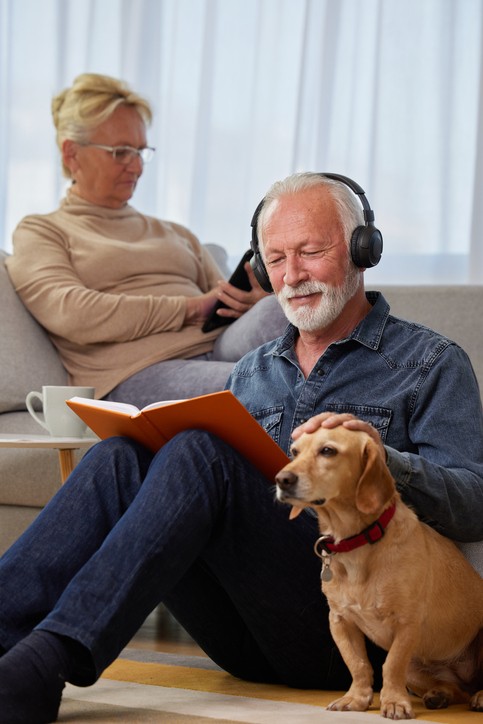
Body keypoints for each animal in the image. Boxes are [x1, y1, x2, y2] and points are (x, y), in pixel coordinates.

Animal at [276, 428, 483, 716]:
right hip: (417, 670)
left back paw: (480, 696)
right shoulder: (340, 621)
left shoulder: (406, 623)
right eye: (295, 451)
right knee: (457, 690)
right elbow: (358, 664)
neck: (356, 542)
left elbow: (391, 665)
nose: (281, 480)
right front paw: (356, 698)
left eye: (328, 451)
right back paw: (439, 694)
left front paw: (394, 702)